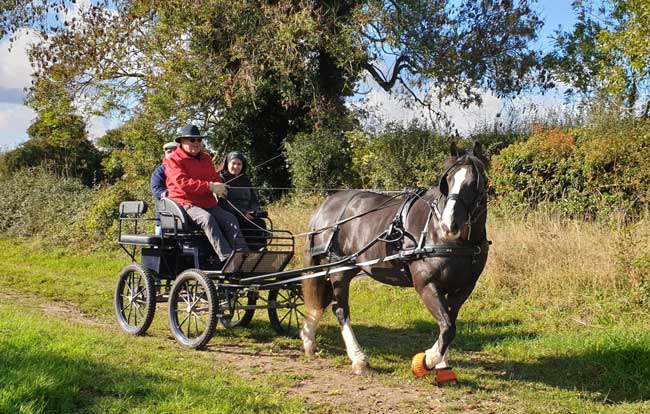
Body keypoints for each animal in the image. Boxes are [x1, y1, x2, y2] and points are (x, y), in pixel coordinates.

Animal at [298, 142, 486, 382]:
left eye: (477, 183)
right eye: (447, 181)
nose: (448, 225)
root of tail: (326, 205)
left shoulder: (462, 288)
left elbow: (448, 324)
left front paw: (442, 364)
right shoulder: (426, 285)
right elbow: (447, 327)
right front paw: (427, 360)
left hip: (337, 269)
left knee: (322, 301)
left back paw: (308, 339)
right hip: (338, 269)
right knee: (340, 309)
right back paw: (358, 359)